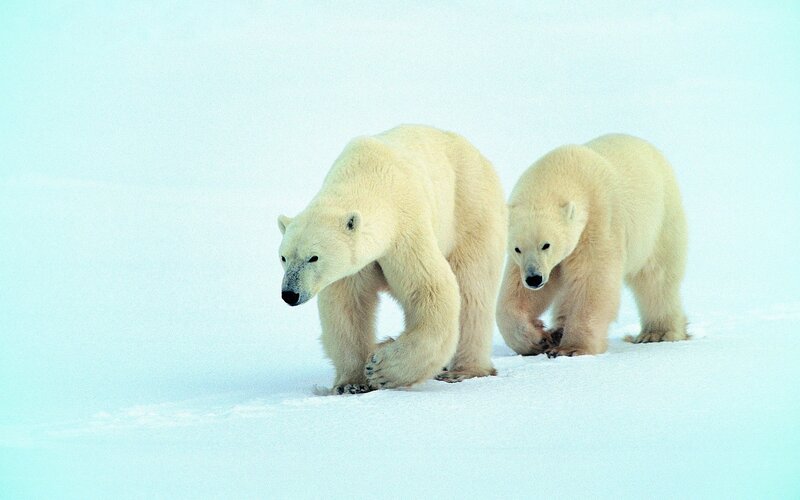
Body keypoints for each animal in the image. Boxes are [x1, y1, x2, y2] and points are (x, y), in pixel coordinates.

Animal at [278, 125, 507, 393]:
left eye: (313, 257)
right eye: (283, 257)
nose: (290, 294)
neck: (369, 176)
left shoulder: (405, 229)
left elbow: (429, 289)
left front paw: (381, 368)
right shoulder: (358, 264)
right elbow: (347, 306)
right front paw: (351, 384)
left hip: (471, 212)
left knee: (473, 289)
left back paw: (463, 371)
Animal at [496, 133, 688, 357]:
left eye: (546, 245)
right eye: (517, 248)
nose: (534, 279)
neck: (565, 170)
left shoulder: (599, 219)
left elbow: (592, 279)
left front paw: (570, 348)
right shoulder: (527, 262)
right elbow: (517, 292)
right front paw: (539, 339)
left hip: (660, 222)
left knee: (656, 278)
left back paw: (657, 333)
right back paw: (558, 330)